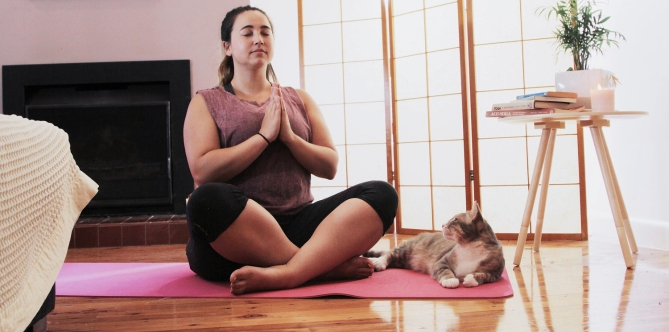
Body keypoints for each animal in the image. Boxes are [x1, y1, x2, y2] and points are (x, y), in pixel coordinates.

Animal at [366, 202, 500, 288]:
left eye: (455, 219)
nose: (442, 224)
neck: (468, 247)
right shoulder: (441, 262)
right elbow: (444, 270)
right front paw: (451, 280)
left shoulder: (496, 272)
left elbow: (486, 275)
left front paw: (471, 279)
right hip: (407, 250)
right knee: (390, 254)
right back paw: (378, 262)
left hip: (404, 261)